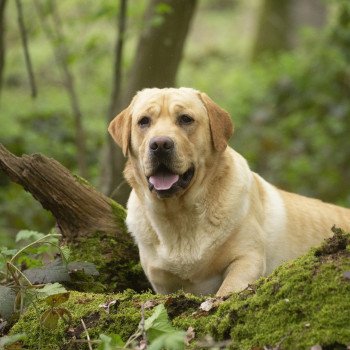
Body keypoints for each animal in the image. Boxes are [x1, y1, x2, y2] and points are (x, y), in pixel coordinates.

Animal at [108, 87, 350, 296]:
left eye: (185, 119)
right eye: (144, 121)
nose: (159, 144)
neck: (179, 216)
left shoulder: (248, 259)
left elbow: (225, 291)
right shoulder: (162, 283)